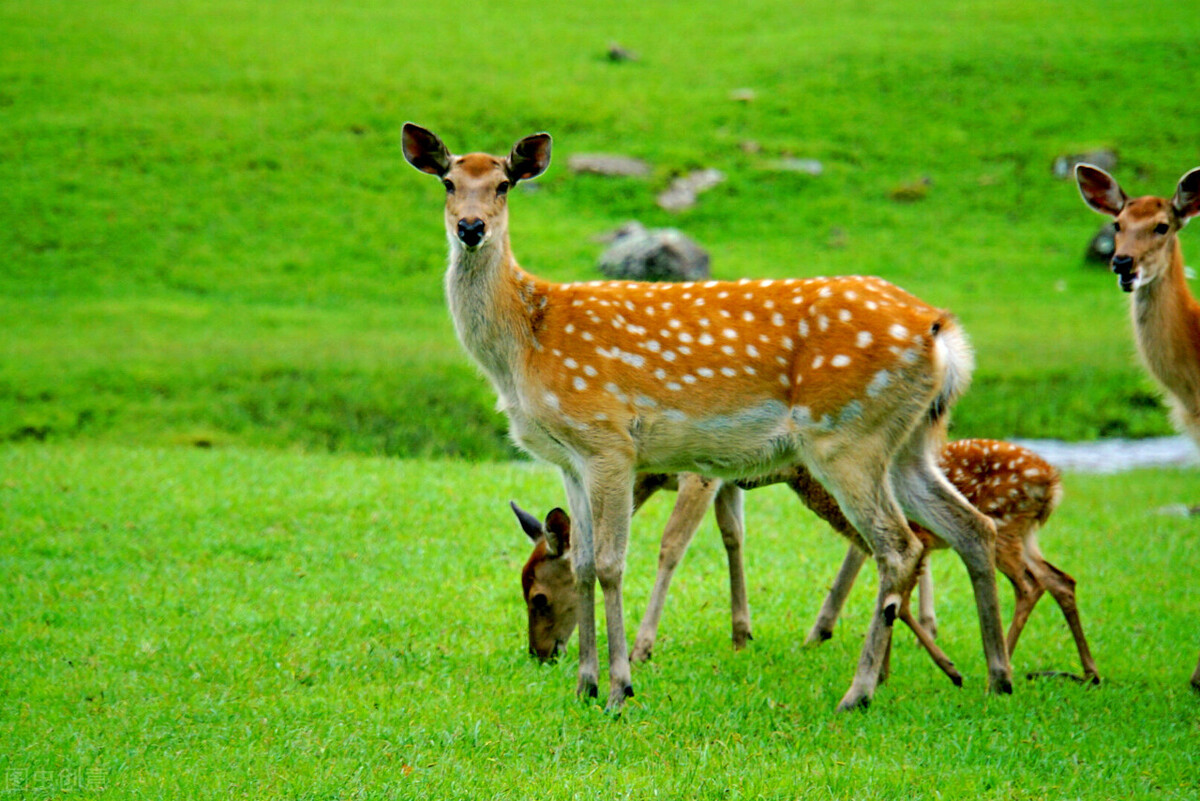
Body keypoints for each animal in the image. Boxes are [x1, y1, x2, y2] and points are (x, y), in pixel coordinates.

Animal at [405, 122, 1012, 709]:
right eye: (448, 183)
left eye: (504, 184)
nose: (471, 227)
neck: (524, 348)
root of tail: (943, 333)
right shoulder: (568, 460)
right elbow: (581, 564)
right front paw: (584, 686)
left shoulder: (609, 441)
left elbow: (611, 563)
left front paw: (620, 689)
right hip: (910, 440)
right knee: (971, 528)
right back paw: (996, 679)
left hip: (847, 436)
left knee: (900, 546)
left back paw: (859, 692)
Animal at [513, 441, 1099, 685]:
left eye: (538, 597)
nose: (539, 653)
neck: (647, 471)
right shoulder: (727, 479)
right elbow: (733, 537)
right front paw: (741, 631)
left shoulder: (698, 474)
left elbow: (671, 545)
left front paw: (642, 645)